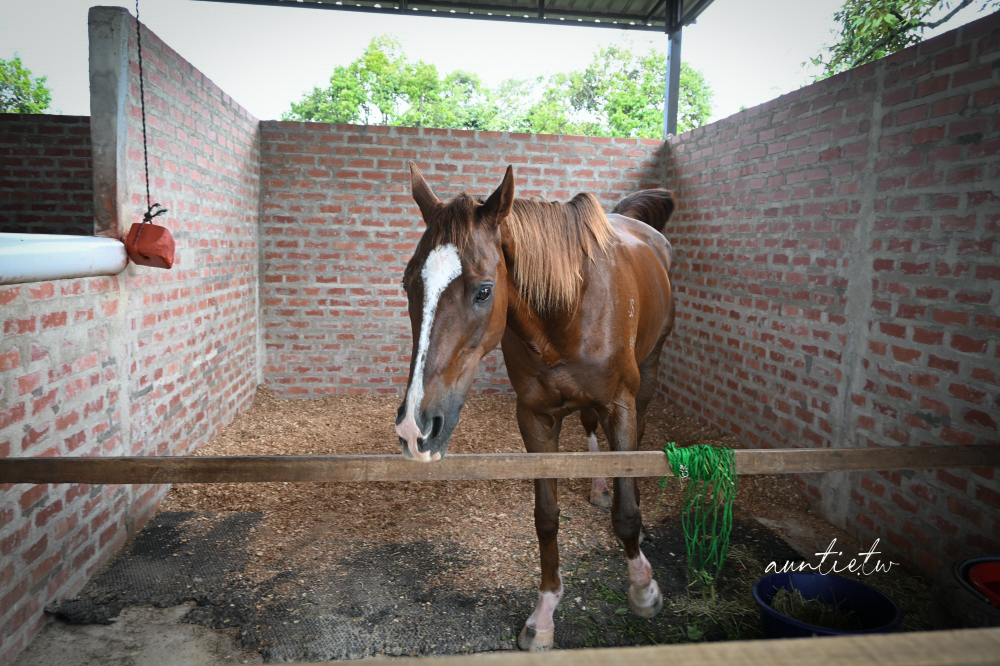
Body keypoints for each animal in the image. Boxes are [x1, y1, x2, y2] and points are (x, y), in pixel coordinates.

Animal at [394, 162, 675, 651]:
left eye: (484, 291)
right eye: (409, 283)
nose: (416, 428)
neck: (569, 308)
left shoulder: (620, 405)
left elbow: (626, 514)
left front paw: (643, 588)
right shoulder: (536, 418)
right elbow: (545, 518)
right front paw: (543, 616)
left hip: (650, 370)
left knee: (637, 439)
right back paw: (598, 486)